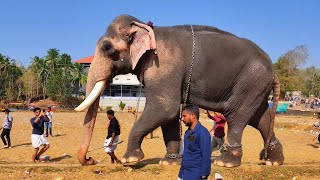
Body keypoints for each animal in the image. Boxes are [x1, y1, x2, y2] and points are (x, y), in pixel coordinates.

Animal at [75, 14, 284, 167]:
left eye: (107, 47)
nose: (90, 160)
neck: (146, 27)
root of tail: (273, 69)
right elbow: (170, 116)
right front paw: (168, 163)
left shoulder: (162, 67)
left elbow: (165, 108)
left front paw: (130, 160)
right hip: (255, 84)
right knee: (259, 117)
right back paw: (273, 161)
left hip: (251, 79)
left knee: (236, 115)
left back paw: (225, 163)